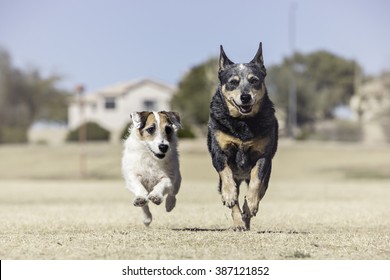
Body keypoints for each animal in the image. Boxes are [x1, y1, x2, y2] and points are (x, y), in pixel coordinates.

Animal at [207, 41, 278, 230]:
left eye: (254, 80)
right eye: (233, 82)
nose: (245, 97)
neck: (242, 123)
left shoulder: (263, 157)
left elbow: (256, 182)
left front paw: (251, 204)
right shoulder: (219, 152)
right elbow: (225, 174)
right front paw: (229, 195)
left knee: (258, 189)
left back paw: (247, 214)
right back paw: (238, 221)